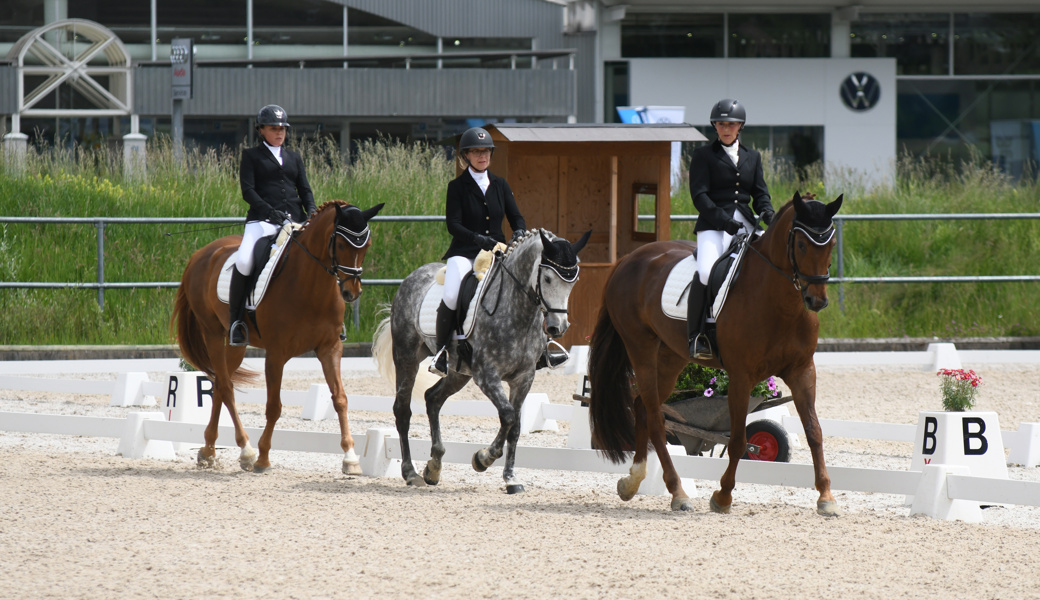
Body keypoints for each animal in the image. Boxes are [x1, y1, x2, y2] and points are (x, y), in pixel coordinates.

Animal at [172, 201, 384, 472]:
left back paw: (208, 451)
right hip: (212, 333)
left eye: (366, 245)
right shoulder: (276, 353)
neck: (311, 287)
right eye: (340, 244)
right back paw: (246, 450)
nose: (351, 292)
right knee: (227, 387)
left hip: (236, 345)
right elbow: (274, 406)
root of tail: (201, 254)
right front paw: (263, 458)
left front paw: (350, 458)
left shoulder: (330, 349)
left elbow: (340, 399)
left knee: (219, 384)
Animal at [374, 226, 590, 492]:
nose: (557, 327)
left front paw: (511, 478)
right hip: (407, 357)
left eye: (574, 281)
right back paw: (411, 472)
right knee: (403, 410)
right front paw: (482, 458)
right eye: (548, 278)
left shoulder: (524, 377)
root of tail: (413, 276)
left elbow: (515, 427)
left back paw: (434, 467)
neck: (519, 313)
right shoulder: (487, 375)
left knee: (432, 398)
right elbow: (507, 415)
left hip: (458, 372)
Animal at [586, 193, 844, 515]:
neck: (781, 304)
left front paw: (826, 497)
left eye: (831, 244)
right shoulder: (741, 377)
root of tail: (627, 260)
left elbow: (814, 431)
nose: (816, 300)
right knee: (657, 419)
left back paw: (633, 482)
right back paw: (678, 493)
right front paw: (722, 496)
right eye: (801, 245)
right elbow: (737, 440)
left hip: (672, 356)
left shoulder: (802, 371)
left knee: (643, 407)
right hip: (640, 347)